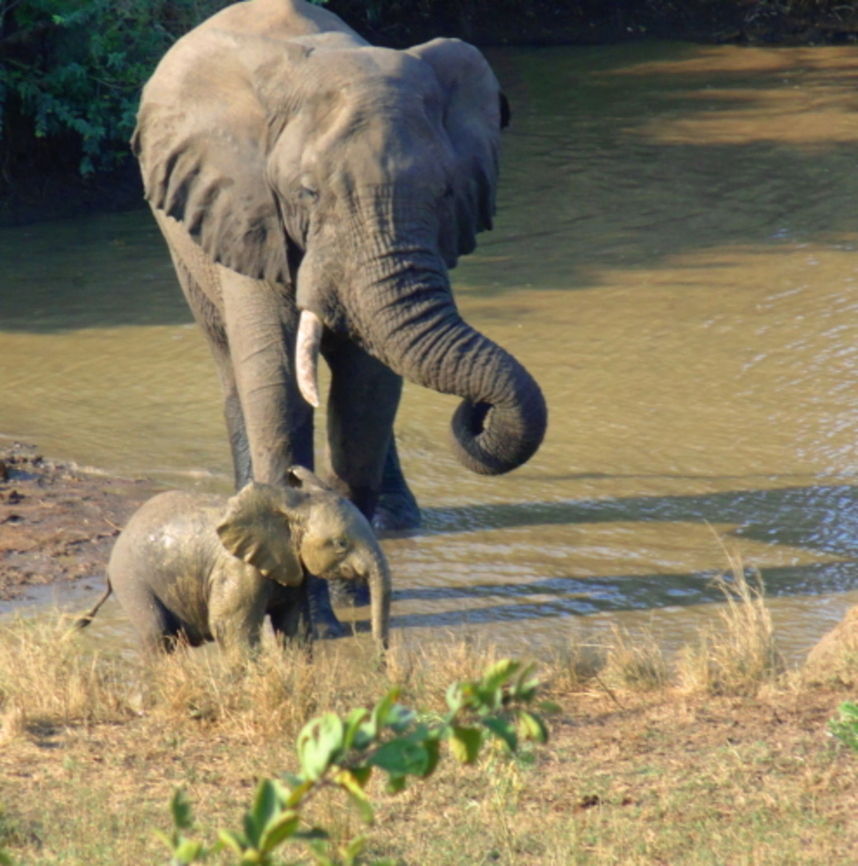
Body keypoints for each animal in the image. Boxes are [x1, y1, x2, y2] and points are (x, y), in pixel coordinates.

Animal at [77, 467, 391, 654]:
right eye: (341, 544)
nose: (379, 661)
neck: (291, 504)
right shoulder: (240, 569)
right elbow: (231, 629)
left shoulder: (290, 566)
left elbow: (295, 627)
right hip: (132, 578)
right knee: (156, 633)